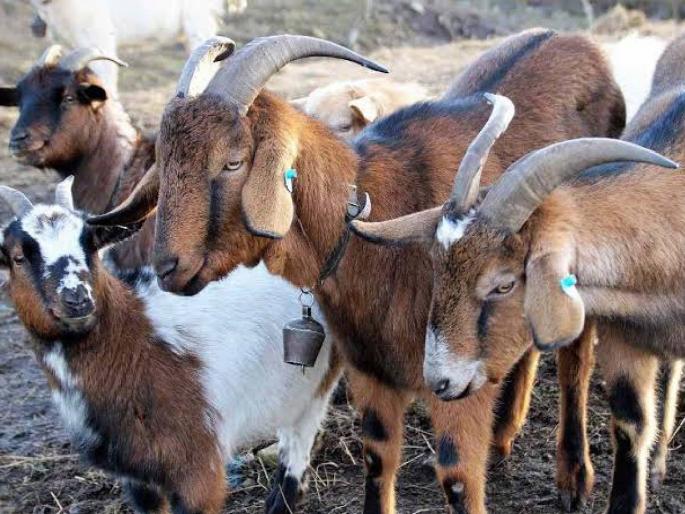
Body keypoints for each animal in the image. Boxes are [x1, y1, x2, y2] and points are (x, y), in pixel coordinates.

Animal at [0, 177, 338, 514]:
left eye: (90, 246)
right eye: (18, 257)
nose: (77, 298)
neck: (140, 342)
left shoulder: (199, 469)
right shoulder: (137, 478)